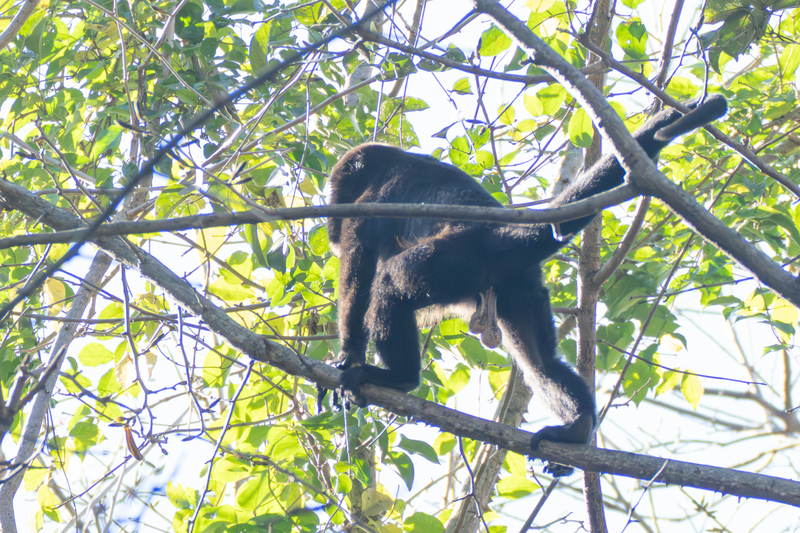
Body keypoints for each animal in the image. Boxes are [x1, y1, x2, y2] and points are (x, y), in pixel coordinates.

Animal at [320, 94, 727, 476]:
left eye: (336, 194)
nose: (330, 228)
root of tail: (499, 232)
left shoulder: (367, 205)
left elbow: (358, 269)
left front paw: (350, 355)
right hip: (519, 288)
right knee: (540, 364)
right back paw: (577, 428)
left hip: (452, 260)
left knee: (390, 285)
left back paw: (399, 379)